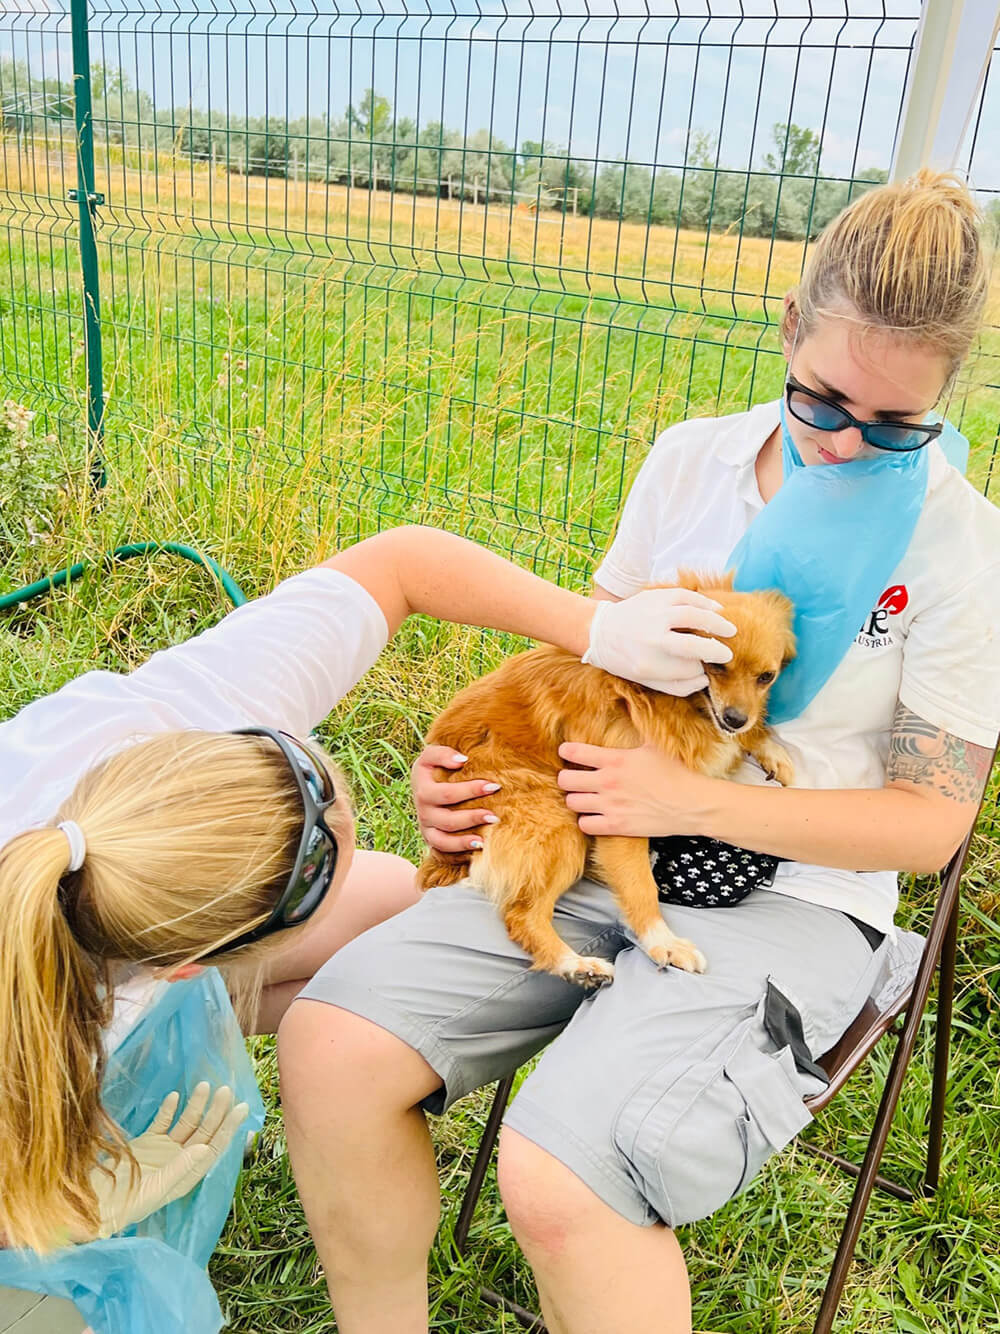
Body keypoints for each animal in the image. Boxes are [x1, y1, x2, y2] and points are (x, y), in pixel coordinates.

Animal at [417, 572, 796, 987]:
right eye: (715, 666)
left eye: (766, 677)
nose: (735, 719)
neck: (664, 698)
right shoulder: (618, 807)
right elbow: (640, 885)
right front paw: (663, 943)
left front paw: (768, 747)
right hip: (557, 820)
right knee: (521, 914)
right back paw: (574, 964)